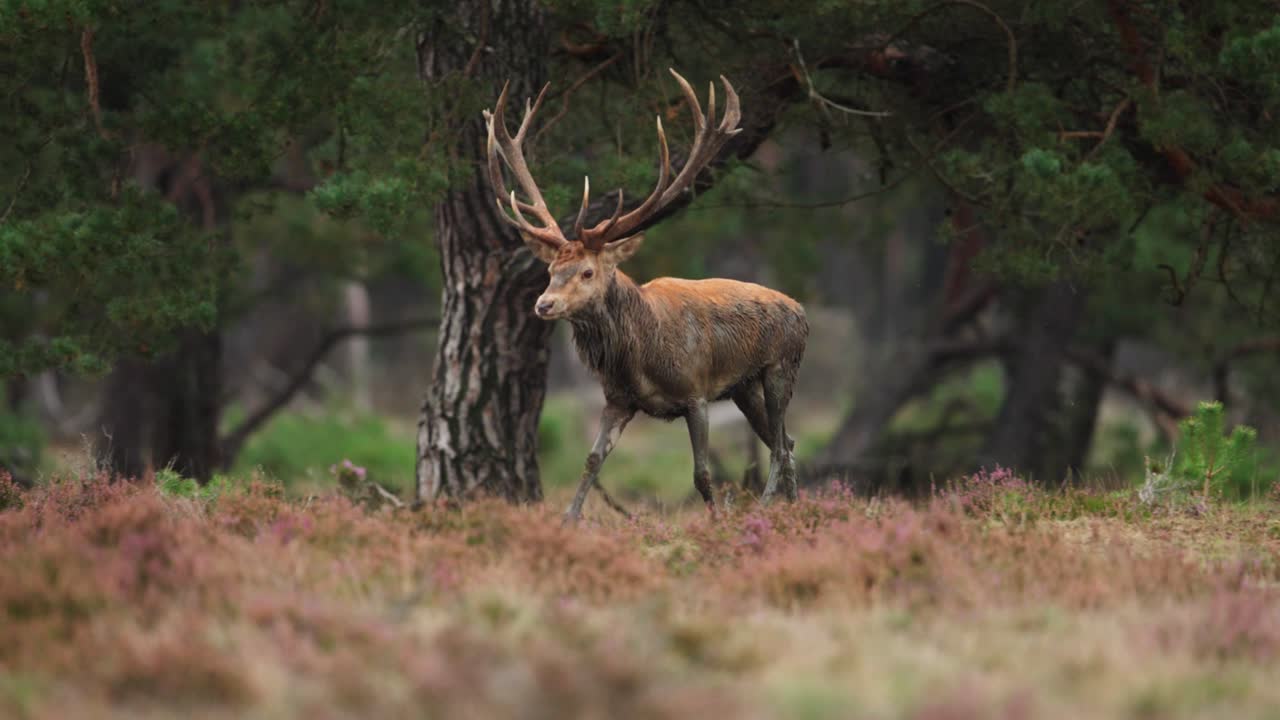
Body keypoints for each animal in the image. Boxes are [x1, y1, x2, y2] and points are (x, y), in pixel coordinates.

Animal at [484, 69, 808, 522]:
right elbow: (591, 460)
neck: (640, 356)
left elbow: (702, 474)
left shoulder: (696, 392)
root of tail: (801, 311)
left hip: (781, 366)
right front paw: (568, 519)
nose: (543, 304)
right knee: (788, 442)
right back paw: (794, 510)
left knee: (780, 445)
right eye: (549, 271)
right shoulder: (618, 399)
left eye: (587, 271)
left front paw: (716, 521)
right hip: (743, 387)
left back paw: (765, 508)